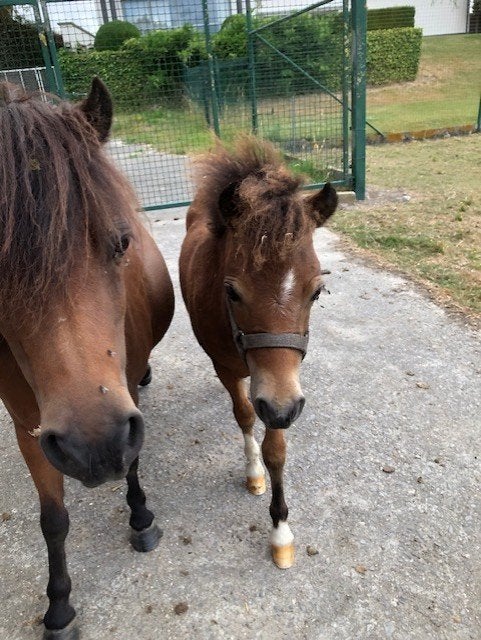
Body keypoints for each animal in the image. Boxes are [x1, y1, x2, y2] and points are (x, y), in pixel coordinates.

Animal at [0, 78, 174, 639]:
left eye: (121, 243)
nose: (92, 446)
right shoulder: (29, 426)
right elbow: (52, 521)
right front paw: (59, 606)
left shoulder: (125, 400)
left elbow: (134, 461)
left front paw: (141, 518)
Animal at [179, 138, 337, 569]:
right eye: (231, 291)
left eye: (316, 292)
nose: (282, 409)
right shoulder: (233, 371)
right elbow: (246, 415)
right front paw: (253, 473)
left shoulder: (280, 390)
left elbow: (276, 449)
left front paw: (281, 532)